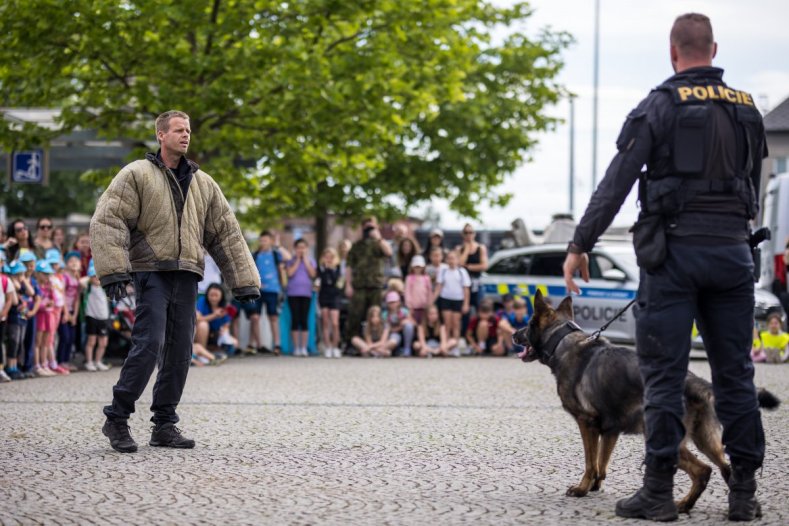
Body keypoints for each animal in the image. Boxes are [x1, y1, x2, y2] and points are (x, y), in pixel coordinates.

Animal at [516, 290, 780, 512]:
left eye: (527, 326)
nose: (514, 334)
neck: (563, 341)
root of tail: (695, 381)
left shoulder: (586, 423)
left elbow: (590, 462)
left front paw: (582, 488)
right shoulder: (610, 431)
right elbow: (602, 461)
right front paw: (595, 486)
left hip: (664, 437)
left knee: (703, 470)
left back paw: (683, 505)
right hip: (705, 440)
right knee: (726, 468)